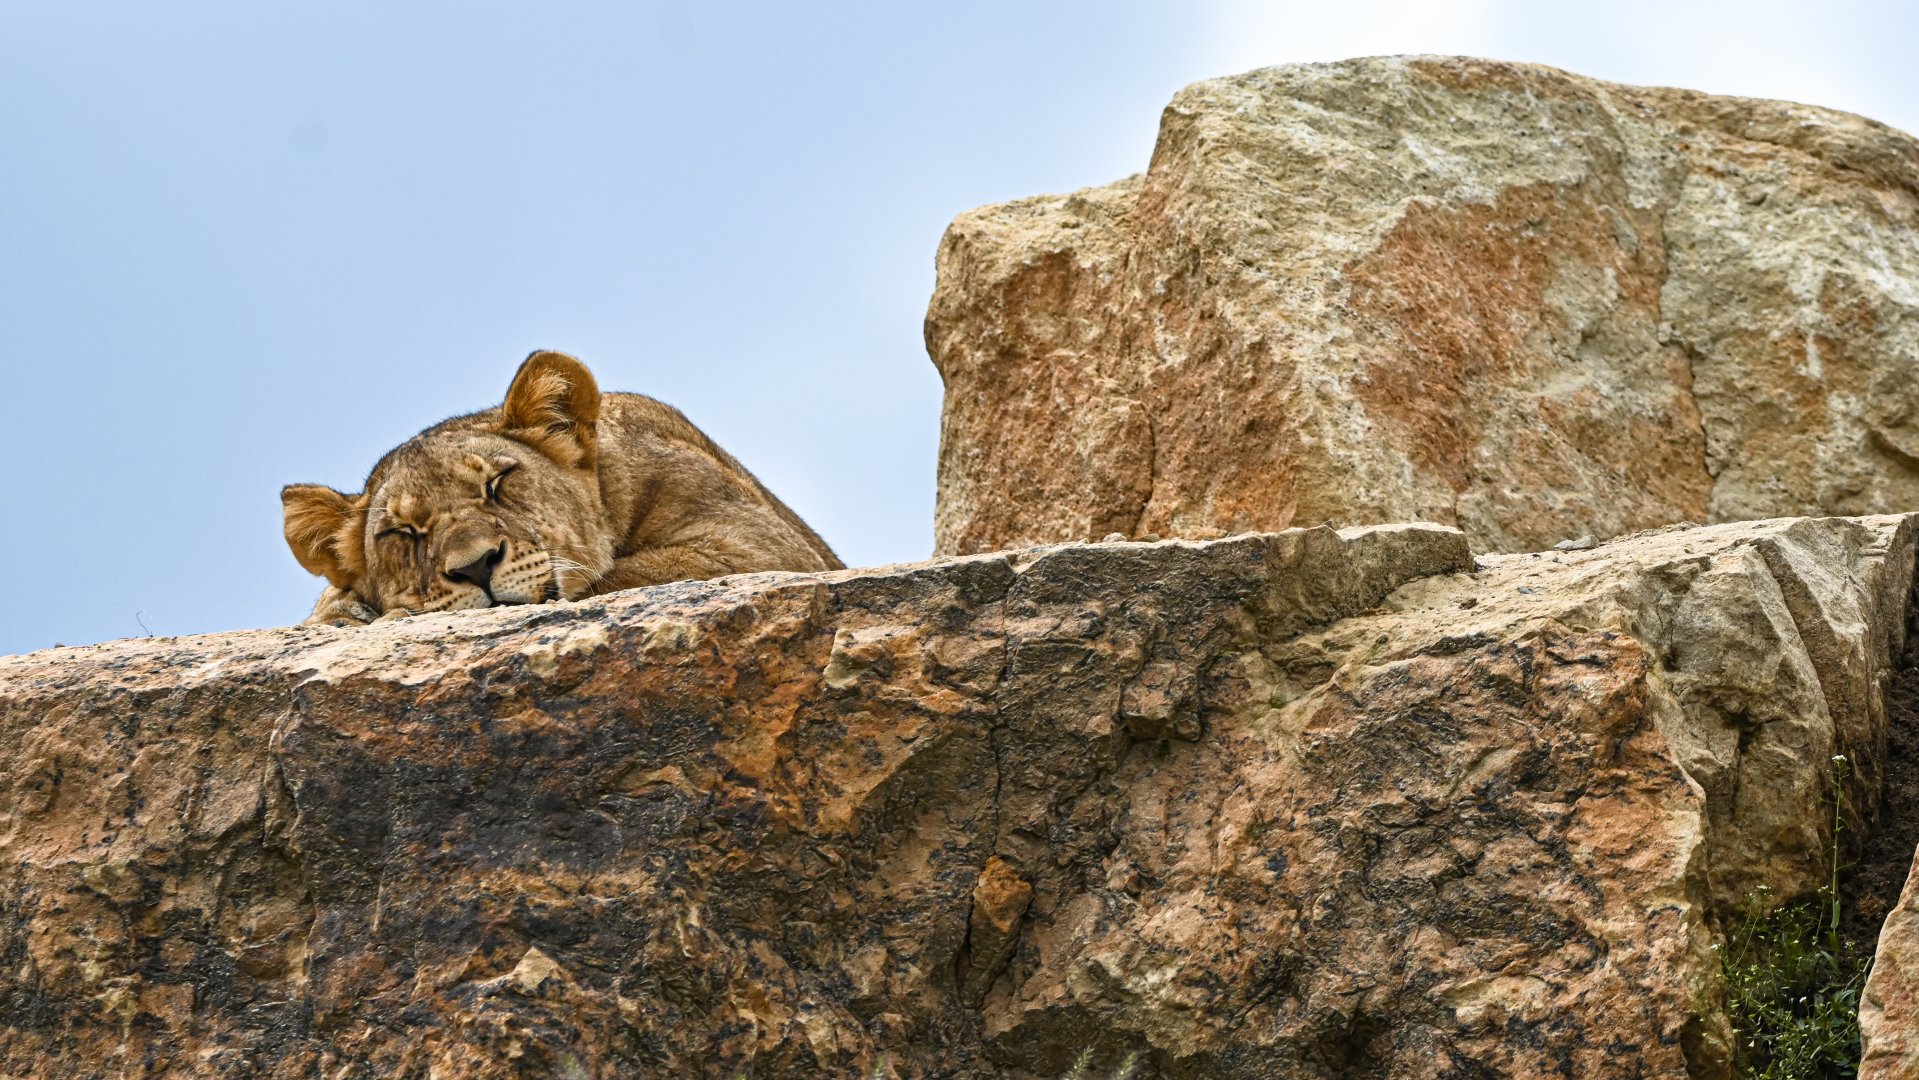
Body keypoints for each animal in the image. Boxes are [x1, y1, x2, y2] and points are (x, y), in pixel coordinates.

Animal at [282, 350, 843, 626]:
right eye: (402, 532)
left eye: (498, 483)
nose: (475, 567)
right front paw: (340, 613)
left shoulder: (760, 546)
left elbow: (619, 575)